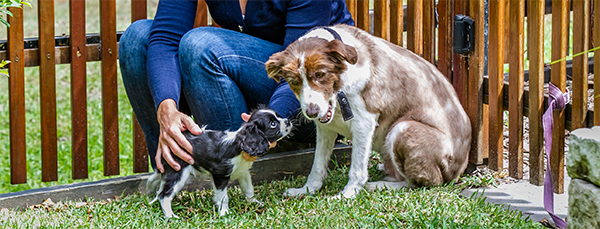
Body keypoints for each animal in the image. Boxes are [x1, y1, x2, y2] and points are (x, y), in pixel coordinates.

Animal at [148, 108, 292, 218]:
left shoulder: (243, 172)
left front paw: (254, 202)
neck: (238, 147)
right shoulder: (220, 174)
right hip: (179, 171)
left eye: (278, 116)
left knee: (156, 184)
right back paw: (170, 216)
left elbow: (248, 189)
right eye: (273, 124)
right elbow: (223, 196)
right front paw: (225, 213)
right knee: (164, 195)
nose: (288, 121)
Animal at [268, 24, 474, 198]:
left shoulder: (364, 122)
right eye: (293, 81)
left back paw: (377, 186)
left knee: (421, 183)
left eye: (320, 74)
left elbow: (357, 168)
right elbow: (317, 165)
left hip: (404, 129)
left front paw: (347, 195)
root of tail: (458, 172)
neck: (341, 85)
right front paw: (307, 190)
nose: (311, 112)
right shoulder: (325, 128)